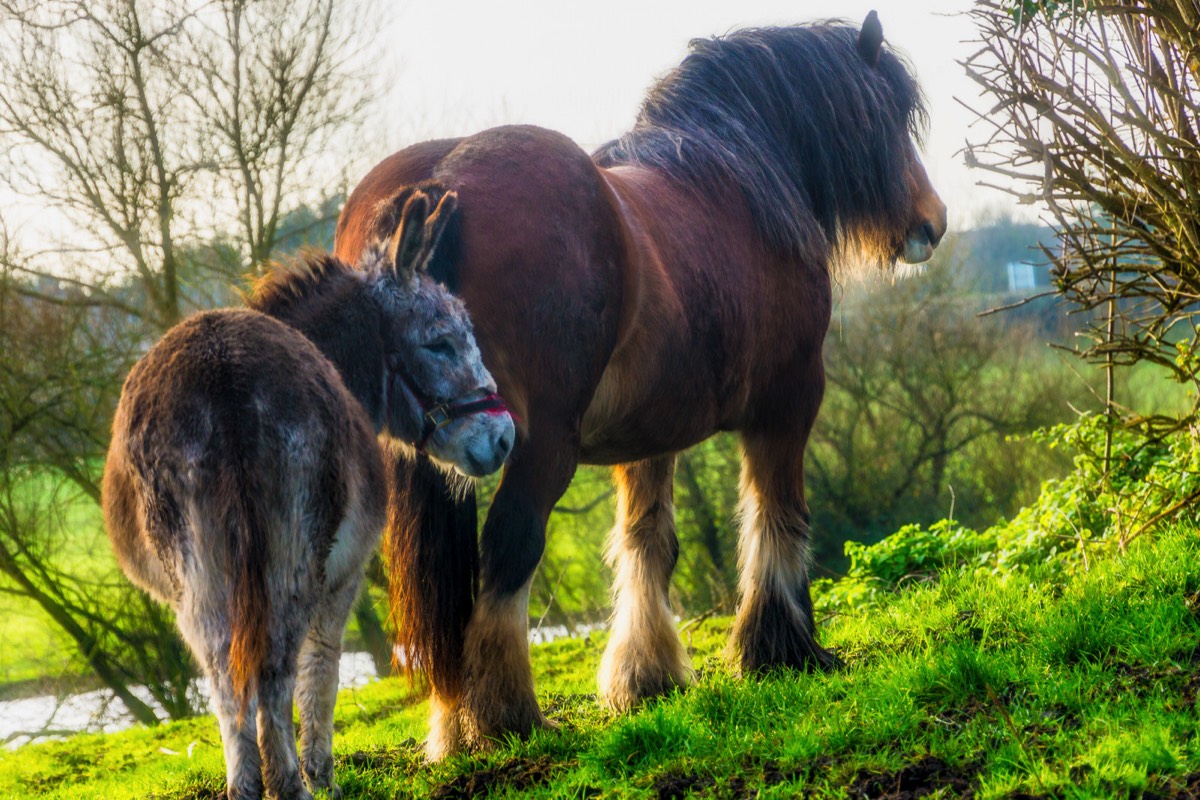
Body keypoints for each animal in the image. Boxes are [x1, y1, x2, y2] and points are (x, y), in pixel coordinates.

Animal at [103, 190, 511, 796]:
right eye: (439, 343)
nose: (505, 438)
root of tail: (222, 374)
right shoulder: (343, 573)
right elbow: (322, 665)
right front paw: (323, 774)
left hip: (199, 579)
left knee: (226, 675)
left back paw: (251, 784)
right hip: (289, 555)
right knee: (274, 665)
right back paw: (291, 783)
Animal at [336, 15, 945, 762]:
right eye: (889, 114)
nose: (933, 222)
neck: (741, 180)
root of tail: (436, 185)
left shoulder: (650, 432)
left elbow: (647, 539)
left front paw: (646, 676)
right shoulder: (791, 399)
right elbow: (778, 513)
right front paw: (780, 647)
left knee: (441, 583)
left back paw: (455, 725)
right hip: (540, 445)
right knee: (510, 546)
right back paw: (511, 715)